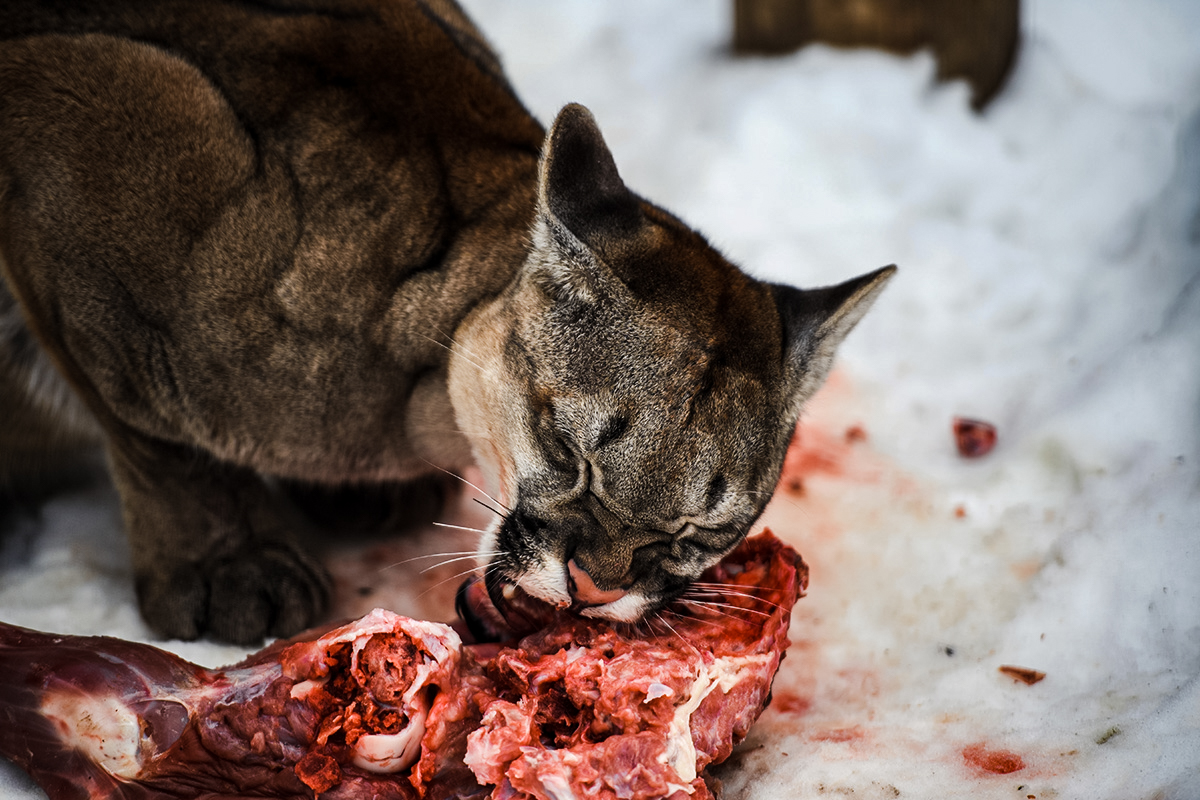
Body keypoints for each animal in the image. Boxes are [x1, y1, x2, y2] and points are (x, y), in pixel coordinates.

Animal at [0, 0, 897, 642]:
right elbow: (158, 437)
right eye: (567, 451)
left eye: (701, 527)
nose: (597, 588)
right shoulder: (74, 124)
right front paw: (229, 563)